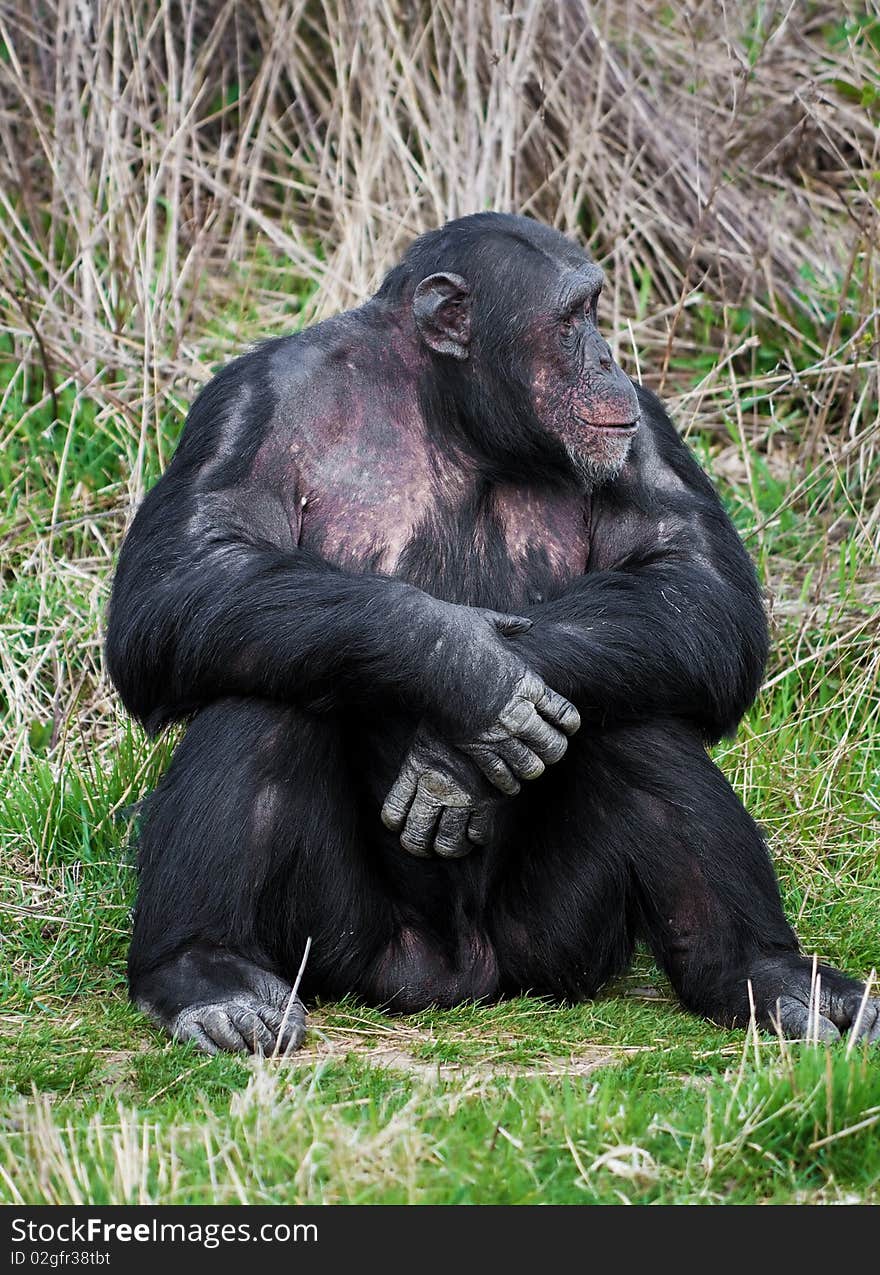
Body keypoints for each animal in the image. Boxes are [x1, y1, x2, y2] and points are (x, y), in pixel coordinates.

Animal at [106, 214, 872, 1050]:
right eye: (572, 319)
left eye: (594, 311)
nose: (608, 356)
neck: (450, 414)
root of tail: (456, 976)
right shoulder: (248, 405)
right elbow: (182, 579)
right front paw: (467, 669)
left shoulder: (641, 427)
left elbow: (696, 584)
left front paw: (456, 754)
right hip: (344, 946)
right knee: (257, 693)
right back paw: (207, 974)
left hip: (556, 947)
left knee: (639, 712)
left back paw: (764, 972)